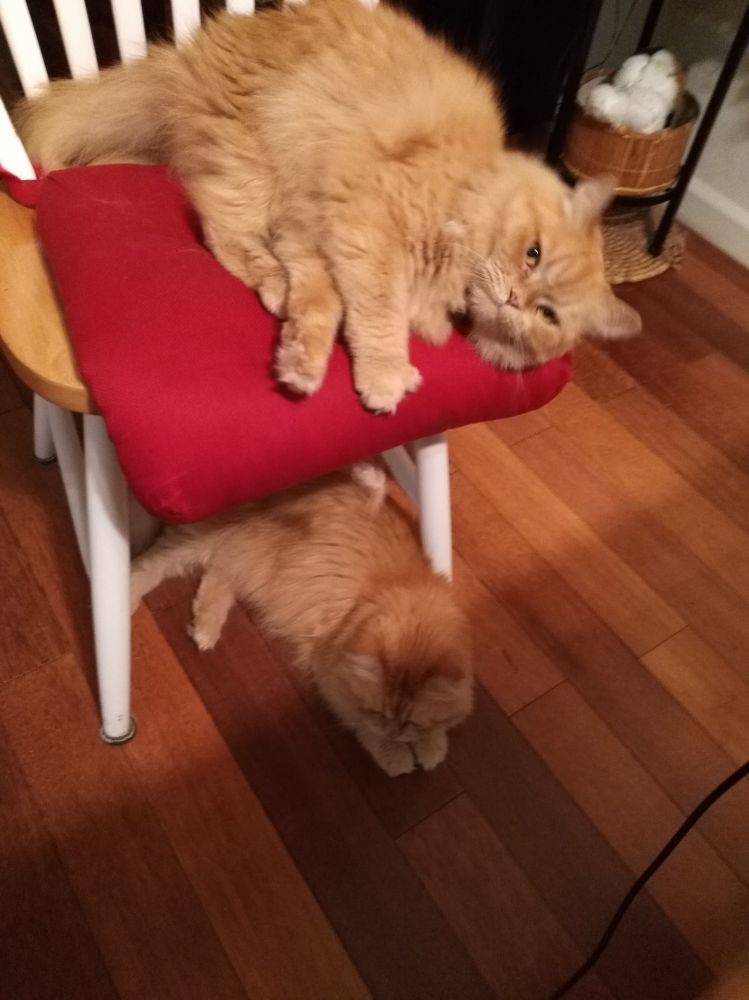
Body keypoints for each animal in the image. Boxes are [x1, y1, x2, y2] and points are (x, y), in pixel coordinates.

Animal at [15, 0, 640, 412]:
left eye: (548, 315)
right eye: (532, 253)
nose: (513, 297)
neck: (469, 183)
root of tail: (182, 56)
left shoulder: (313, 236)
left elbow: (324, 307)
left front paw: (299, 357)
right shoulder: (367, 232)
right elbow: (374, 317)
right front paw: (383, 376)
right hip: (252, 164)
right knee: (220, 229)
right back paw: (270, 284)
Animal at [130, 464, 473, 776]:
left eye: (412, 721)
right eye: (377, 711)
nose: (395, 733)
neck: (396, 591)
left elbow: (443, 722)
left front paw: (431, 746)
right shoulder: (331, 674)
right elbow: (361, 723)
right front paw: (396, 755)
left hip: (245, 555)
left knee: (217, 575)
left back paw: (205, 629)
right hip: (207, 542)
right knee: (148, 565)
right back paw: (127, 598)